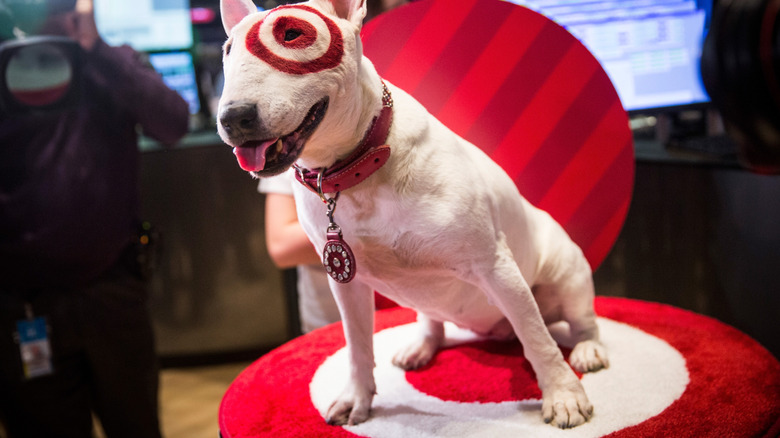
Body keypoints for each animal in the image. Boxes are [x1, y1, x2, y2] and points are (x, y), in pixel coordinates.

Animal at [218, 0, 608, 430]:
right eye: (228, 50)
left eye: (291, 35)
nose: (233, 118)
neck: (353, 170)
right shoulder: (347, 284)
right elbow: (357, 344)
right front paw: (356, 399)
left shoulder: (494, 266)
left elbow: (537, 336)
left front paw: (564, 396)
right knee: (434, 321)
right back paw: (420, 346)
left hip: (565, 277)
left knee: (576, 321)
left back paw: (588, 350)